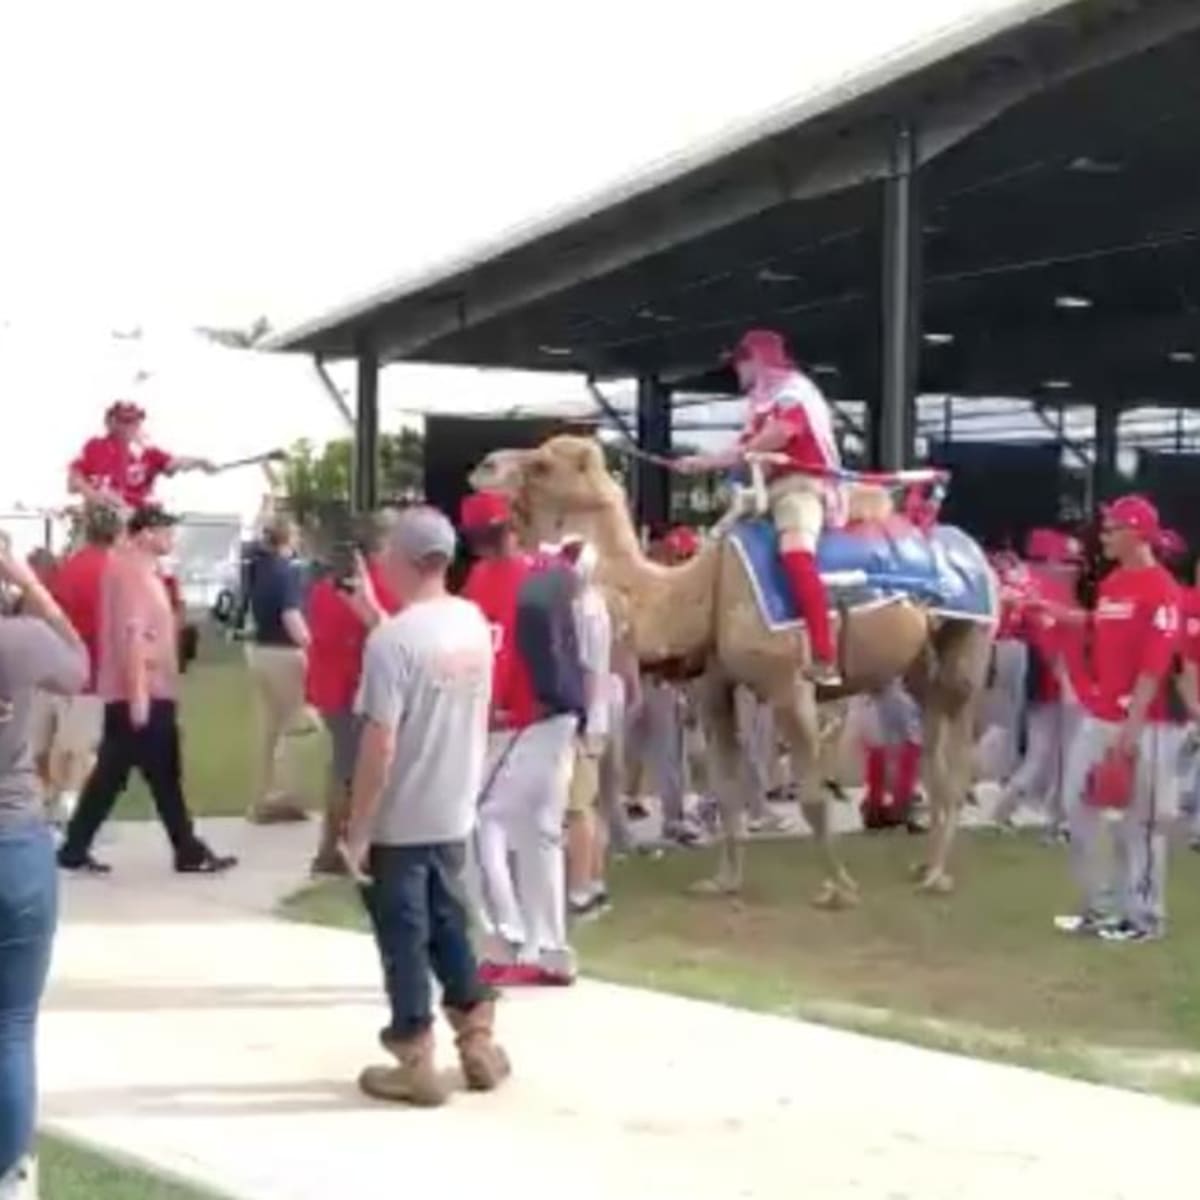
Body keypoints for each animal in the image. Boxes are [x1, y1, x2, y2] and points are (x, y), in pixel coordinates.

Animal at [468, 436, 993, 902]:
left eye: (541, 464)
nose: (484, 465)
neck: (697, 591)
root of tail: (973, 549)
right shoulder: (713, 688)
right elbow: (725, 789)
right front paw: (723, 882)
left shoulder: (789, 688)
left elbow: (812, 796)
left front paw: (839, 887)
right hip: (921, 662)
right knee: (933, 740)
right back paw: (927, 863)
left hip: (969, 643)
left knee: (959, 742)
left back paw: (937, 873)